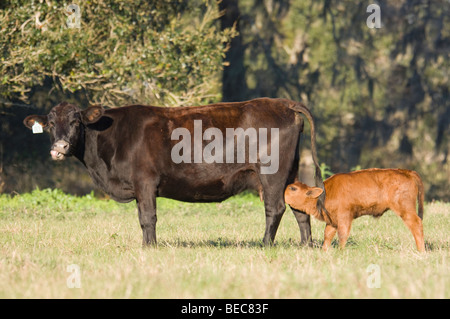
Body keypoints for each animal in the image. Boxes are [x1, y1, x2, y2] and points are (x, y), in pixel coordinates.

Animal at [23, 98, 324, 248]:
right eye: (51, 123)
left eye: (76, 121)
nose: (59, 147)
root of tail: (280, 102)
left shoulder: (145, 181)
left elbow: (147, 218)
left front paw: (149, 247)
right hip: (289, 172)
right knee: (299, 207)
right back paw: (306, 245)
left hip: (271, 173)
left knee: (275, 208)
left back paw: (264, 244)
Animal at [284, 170, 426, 252]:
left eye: (293, 188)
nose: (284, 189)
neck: (324, 193)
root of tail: (407, 172)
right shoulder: (332, 221)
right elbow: (327, 236)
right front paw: (324, 251)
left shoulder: (344, 217)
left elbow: (342, 235)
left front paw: (340, 252)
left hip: (405, 209)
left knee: (416, 223)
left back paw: (421, 251)